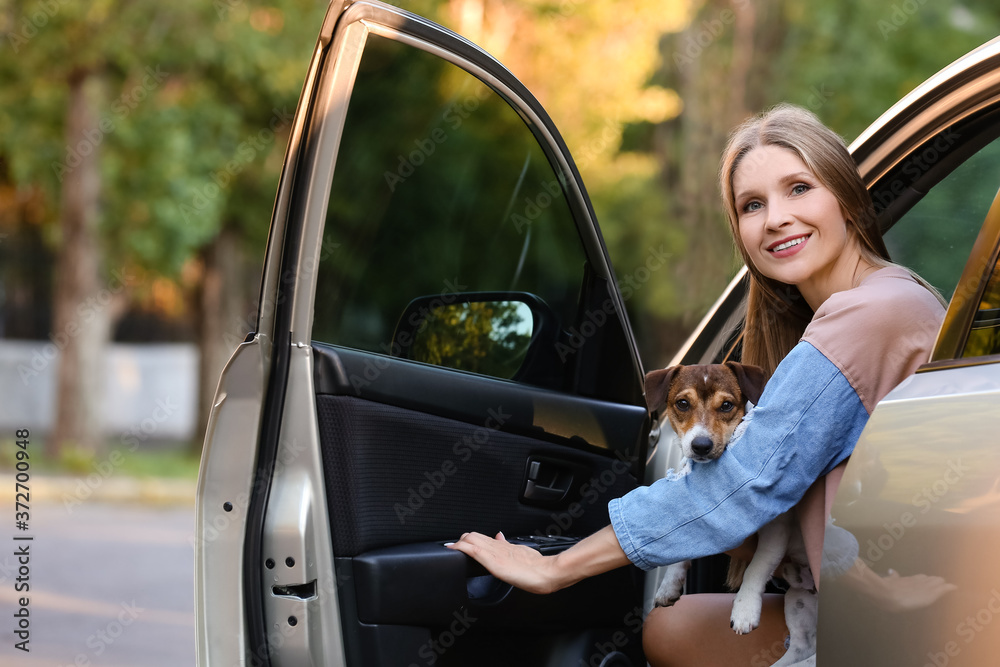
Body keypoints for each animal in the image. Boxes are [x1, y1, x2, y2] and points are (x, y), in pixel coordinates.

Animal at [644, 362, 816, 667]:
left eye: (726, 405)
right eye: (682, 403)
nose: (701, 445)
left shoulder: (777, 529)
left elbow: (757, 566)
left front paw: (745, 609)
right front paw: (668, 585)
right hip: (798, 601)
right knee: (801, 647)